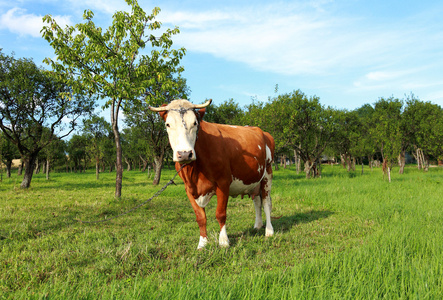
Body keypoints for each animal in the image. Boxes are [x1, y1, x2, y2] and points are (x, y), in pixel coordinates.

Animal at [151, 98, 276, 248]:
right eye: (168, 124)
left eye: (195, 123)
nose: (185, 154)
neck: (194, 171)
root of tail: (261, 131)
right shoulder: (188, 188)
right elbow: (200, 217)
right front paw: (202, 243)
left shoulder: (223, 183)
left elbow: (220, 214)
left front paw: (223, 241)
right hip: (254, 180)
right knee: (257, 201)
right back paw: (258, 225)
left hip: (267, 173)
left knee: (266, 202)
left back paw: (269, 230)